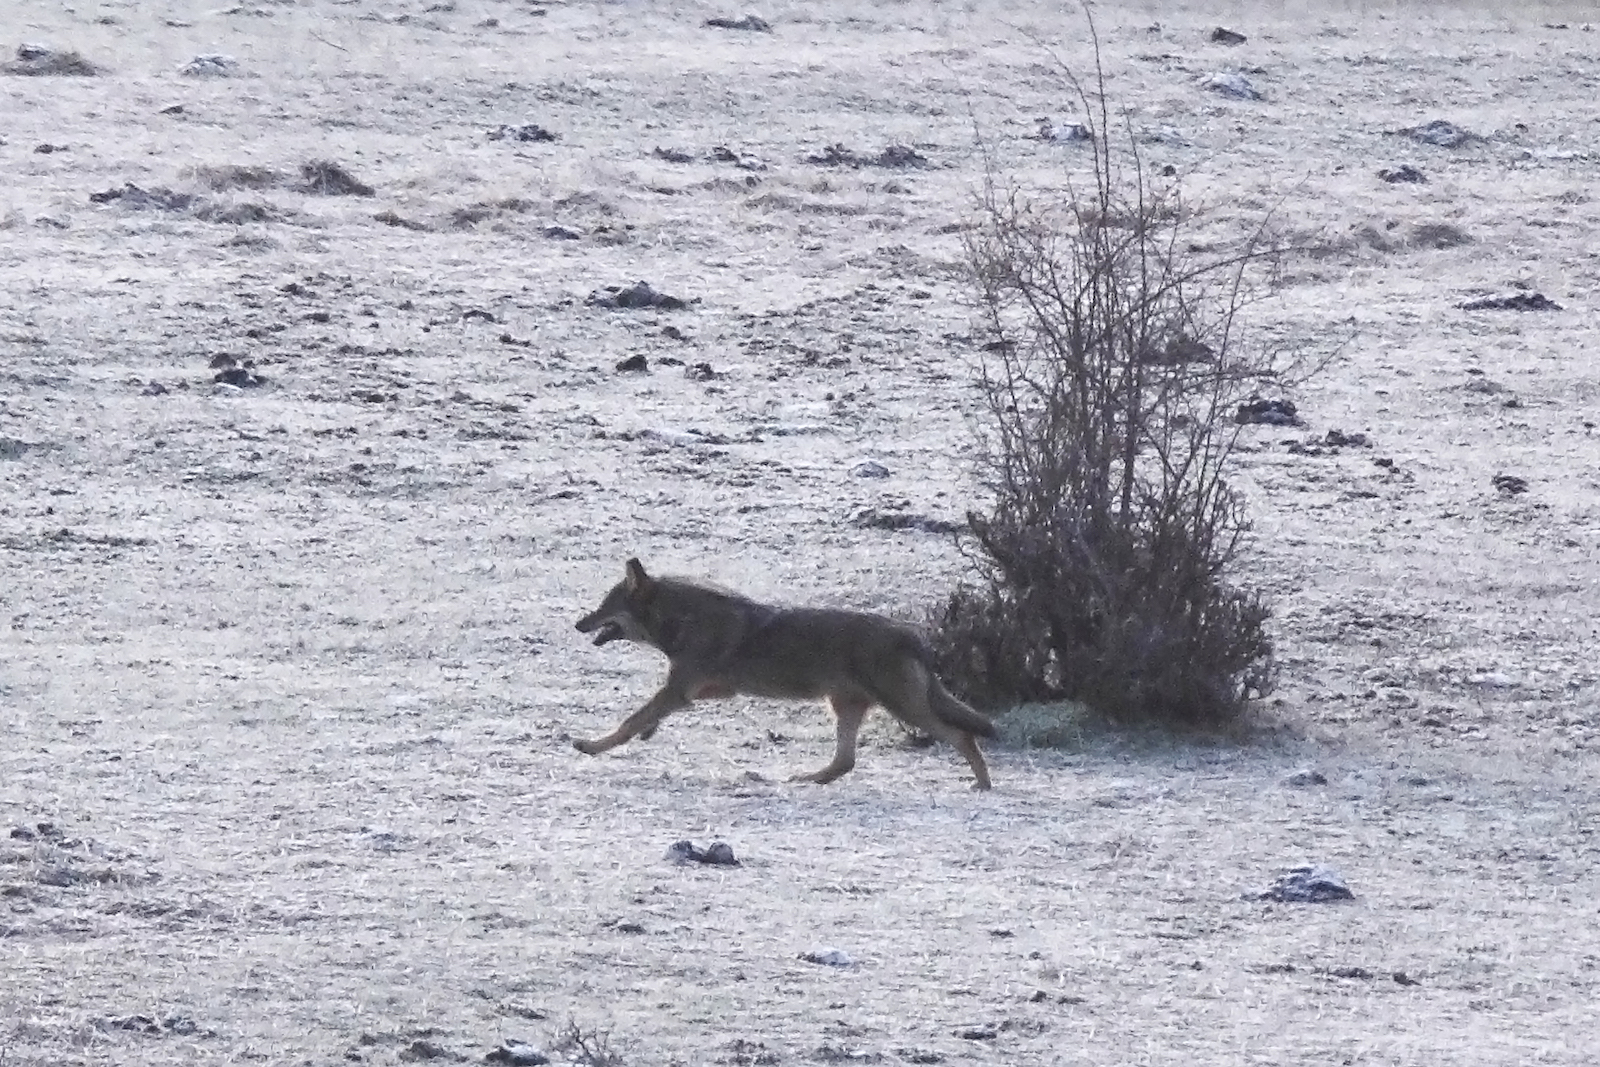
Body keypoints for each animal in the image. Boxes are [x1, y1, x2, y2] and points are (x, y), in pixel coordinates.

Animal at [572, 558, 998, 790]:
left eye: (603, 606)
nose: (578, 624)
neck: (683, 620)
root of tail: (915, 637)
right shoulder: (707, 689)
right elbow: (650, 716)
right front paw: (647, 732)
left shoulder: (683, 687)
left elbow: (631, 719)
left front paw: (591, 746)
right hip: (844, 706)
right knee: (845, 763)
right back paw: (803, 779)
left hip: (905, 709)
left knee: (964, 736)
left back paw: (982, 785)